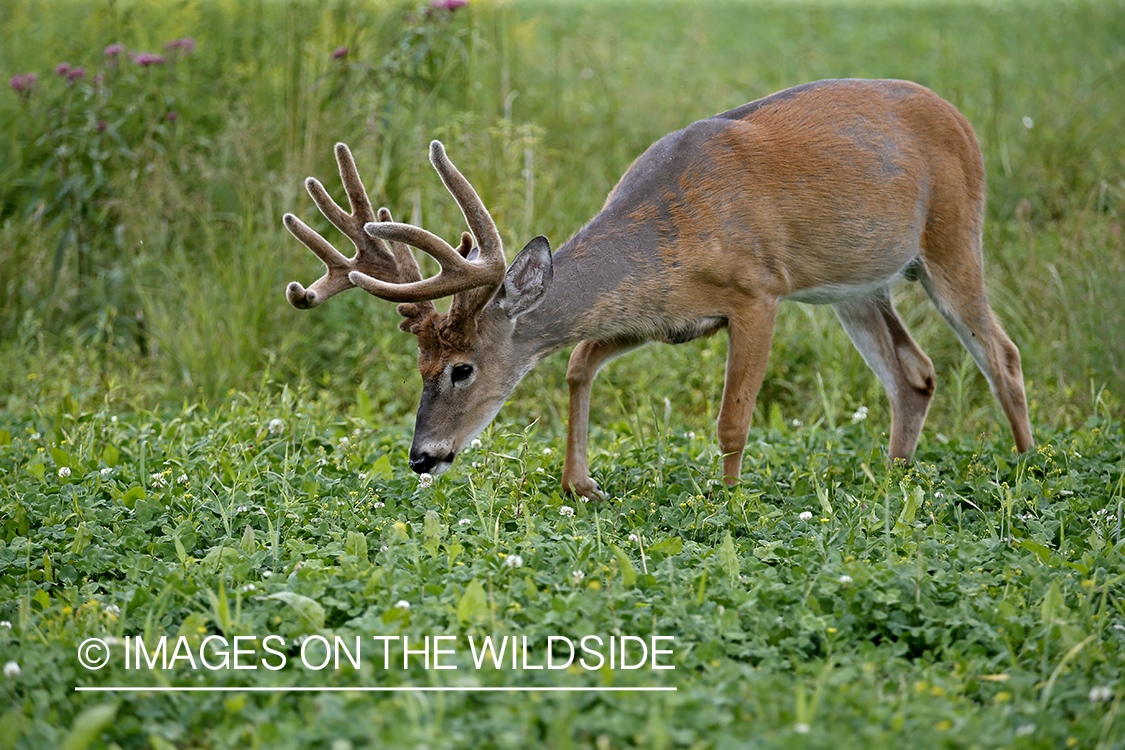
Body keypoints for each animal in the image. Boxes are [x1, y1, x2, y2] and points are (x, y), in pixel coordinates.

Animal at [285, 77, 1030, 499]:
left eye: (462, 368)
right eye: (420, 366)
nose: (422, 456)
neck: (667, 235)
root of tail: (961, 118)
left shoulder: (758, 292)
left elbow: (731, 418)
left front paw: (727, 503)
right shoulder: (660, 320)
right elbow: (577, 364)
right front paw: (580, 484)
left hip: (952, 236)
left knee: (1002, 353)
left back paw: (1028, 467)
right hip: (855, 286)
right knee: (915, 371)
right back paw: (894, 477)